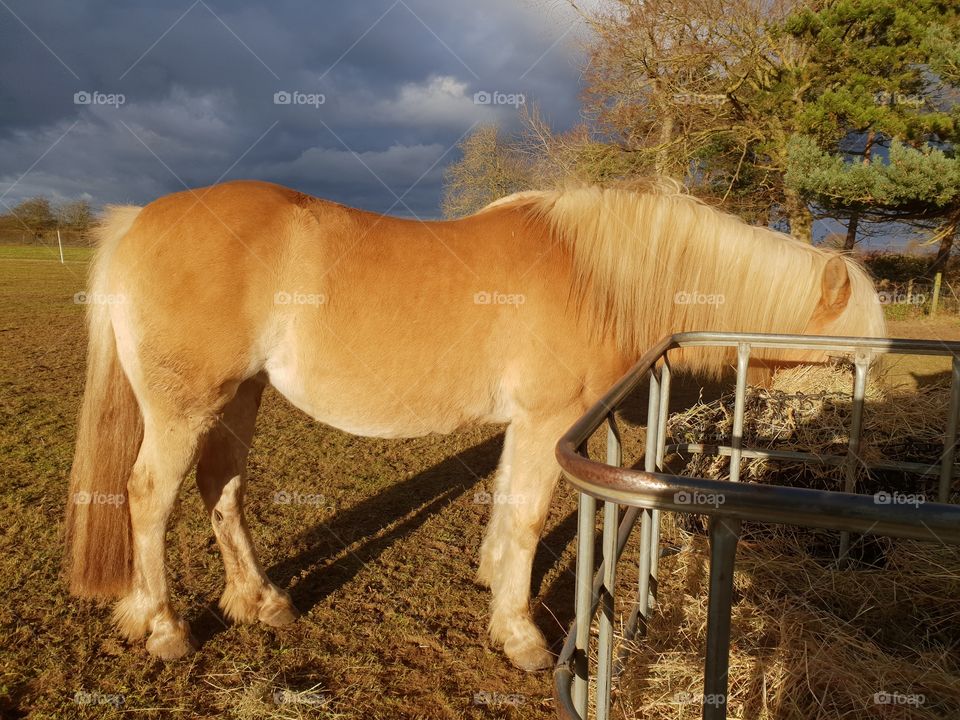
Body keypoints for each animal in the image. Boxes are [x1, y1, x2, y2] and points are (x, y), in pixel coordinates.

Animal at [63, 179, 880, 668]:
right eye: (845, 361)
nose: (855, 483)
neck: (597, 274)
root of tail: (139, 219)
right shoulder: (549, 421)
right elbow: (526, 517)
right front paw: (520, 636)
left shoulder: (531, 425)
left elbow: (509, 511)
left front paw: (493, 585)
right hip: (186, 407)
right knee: (148, 497)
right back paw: (164, 626)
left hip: (238, 399)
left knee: (221, 492)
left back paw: (258, 603)